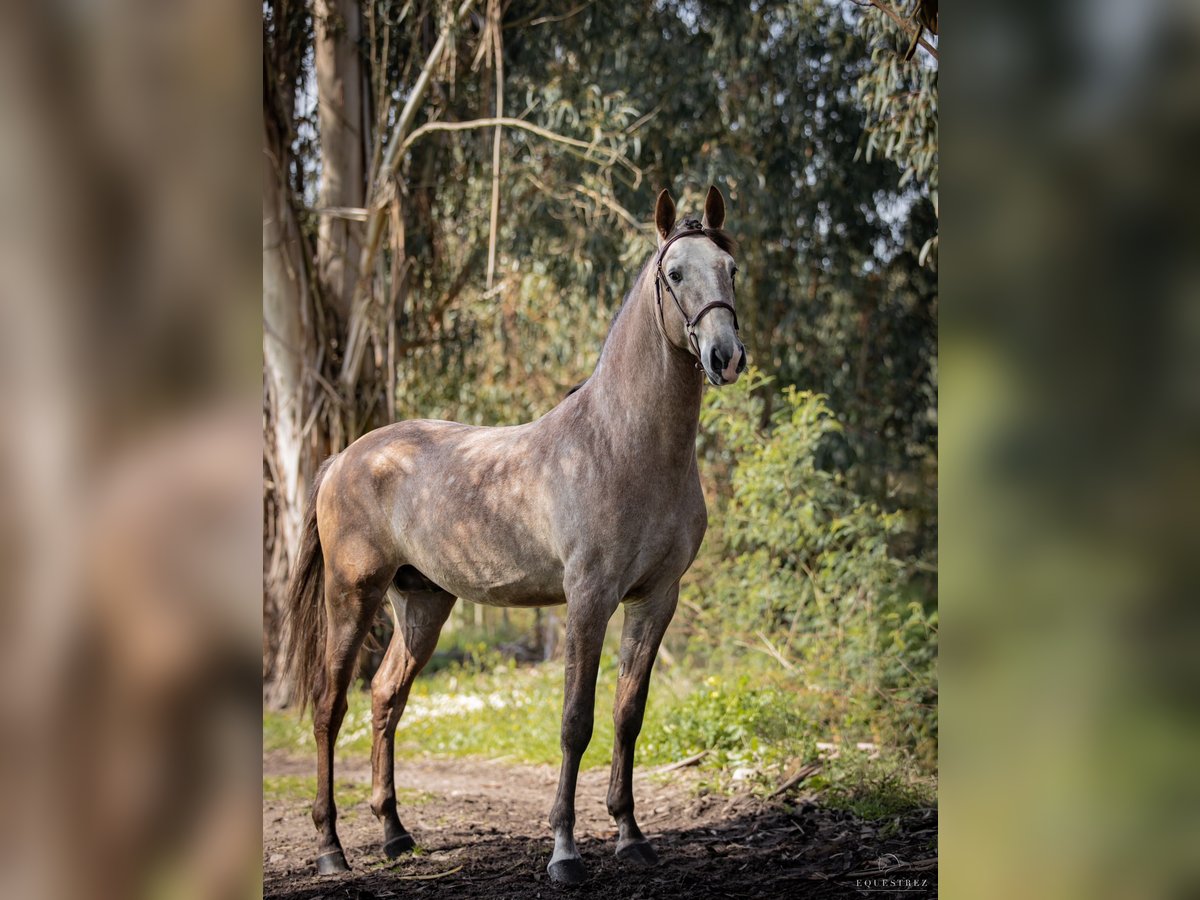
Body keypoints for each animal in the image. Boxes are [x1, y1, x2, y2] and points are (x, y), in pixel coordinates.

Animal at [284, 184, 744, 888]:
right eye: (673, 274)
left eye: (731, 269)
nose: (725, 357)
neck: (624, 446)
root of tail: (344, 458)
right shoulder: (589, 599)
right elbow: (576, 722)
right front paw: (565, 852)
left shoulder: (655, 599)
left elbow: (628, 714)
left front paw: (631, 836)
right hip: (351, 597)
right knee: (329, 706)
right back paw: (331, 848)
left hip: (422, 602)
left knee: (386, 698)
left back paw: (395, 835)